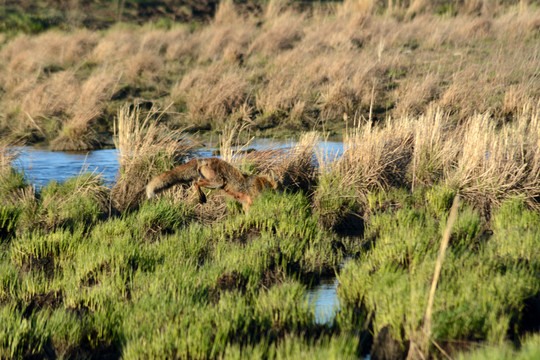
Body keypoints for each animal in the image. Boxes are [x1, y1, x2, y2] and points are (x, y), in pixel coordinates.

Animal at [146, 157, 276, 210]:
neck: (262, 184)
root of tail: (203, 159)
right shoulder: (252, 201)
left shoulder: (246, 204)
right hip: (217, 182)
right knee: (197, 183)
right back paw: (202, 198)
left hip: (214, 183)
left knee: (196, 182)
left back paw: (201, 197)